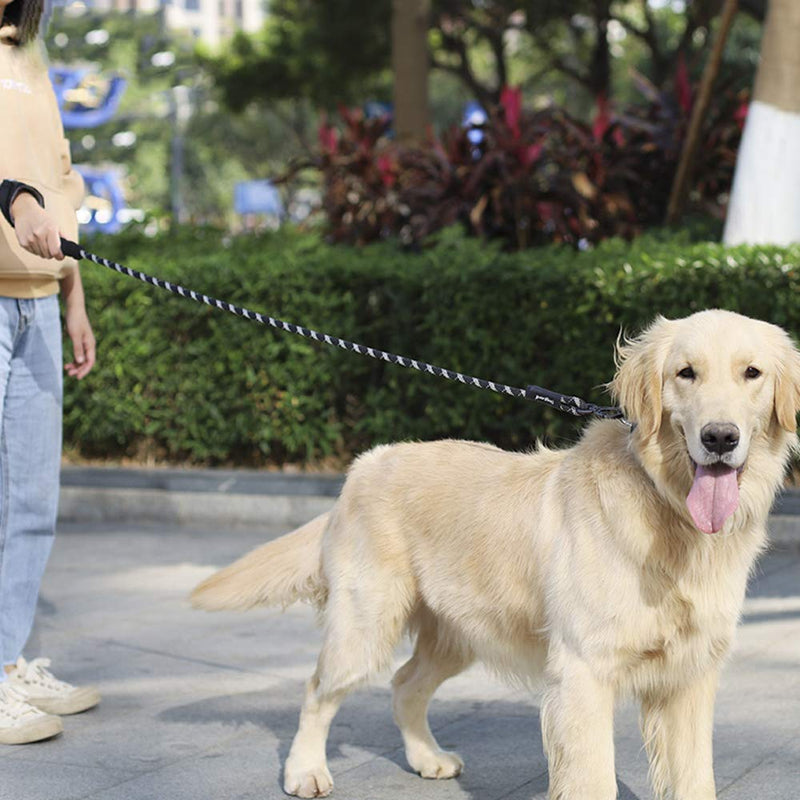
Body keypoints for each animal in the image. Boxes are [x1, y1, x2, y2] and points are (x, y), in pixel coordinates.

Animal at [192, 308, 800, 800]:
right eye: (685, 373)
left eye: (752, 373)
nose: (719, 438)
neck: (666, 509)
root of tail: (365, 464)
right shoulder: (583, 673)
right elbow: (593, 779)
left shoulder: (689, 677)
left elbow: (695, 778)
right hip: (366, 625)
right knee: (318, 689)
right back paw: (305, 772)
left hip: (460, 631)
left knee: (404, 684)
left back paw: (427, 758)